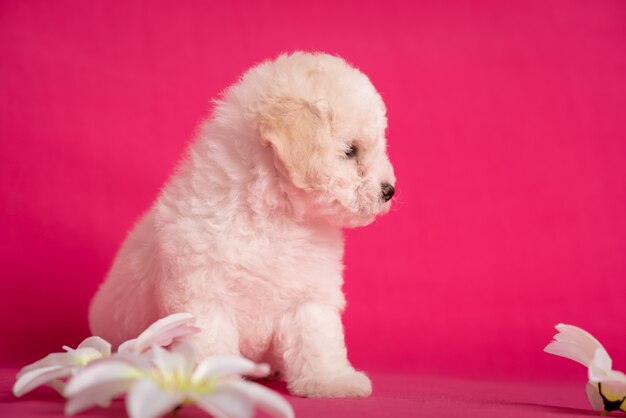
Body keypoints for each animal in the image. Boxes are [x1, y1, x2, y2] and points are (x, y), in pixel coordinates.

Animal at [88, 50, 394, 396]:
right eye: (350, 150)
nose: (389, 191)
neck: (275, 215)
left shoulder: (308, 297)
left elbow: (317, 341)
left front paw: (331, 381)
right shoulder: (203, 295)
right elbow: (211, 341)